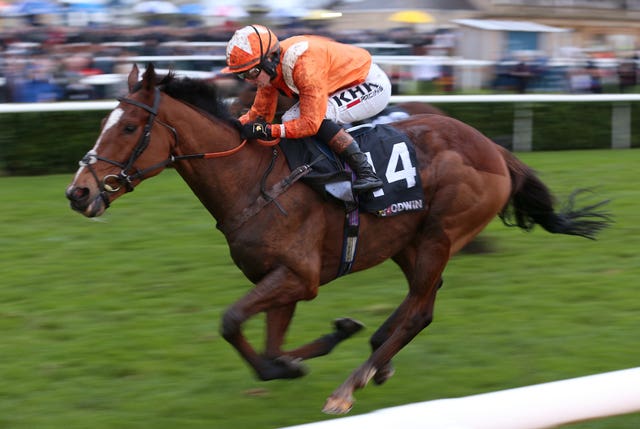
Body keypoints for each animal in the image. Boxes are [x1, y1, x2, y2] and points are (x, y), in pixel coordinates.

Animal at [67, 63, 612, 414]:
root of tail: (496, 150)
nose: (78, 192)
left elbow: (232, 323)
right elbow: (268, 349)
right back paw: (376, 353)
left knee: (420, 308)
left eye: (130, 126)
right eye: (103, 123)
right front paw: (322, 343)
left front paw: (304, 362)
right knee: (424, 301)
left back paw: (354, 381)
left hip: (441, 232)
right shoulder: (279, 279)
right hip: (407, 240)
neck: (253, 180)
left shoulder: (299, 277)